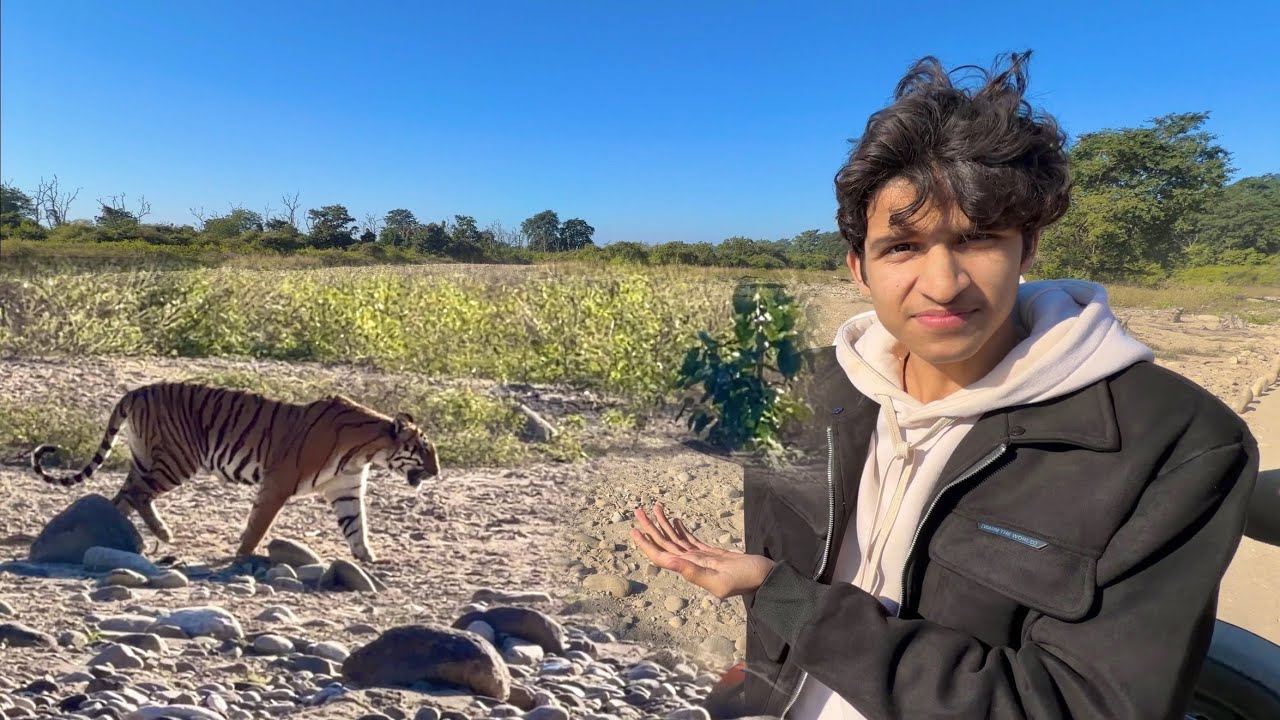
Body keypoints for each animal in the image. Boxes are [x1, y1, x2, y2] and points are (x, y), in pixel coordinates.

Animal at [30, 381, 440, 563]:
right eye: (424, 449)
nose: (436, 472)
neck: (368, 450)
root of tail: (138, 389)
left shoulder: (346, 489)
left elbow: (357, 525)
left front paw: (368, 558)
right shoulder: (278, 482)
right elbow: (259, 523)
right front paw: (243, 554)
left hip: (148, 457)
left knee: (123, 495)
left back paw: (120, 536)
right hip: (178, 460)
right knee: (136, 493)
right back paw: (160, 533)